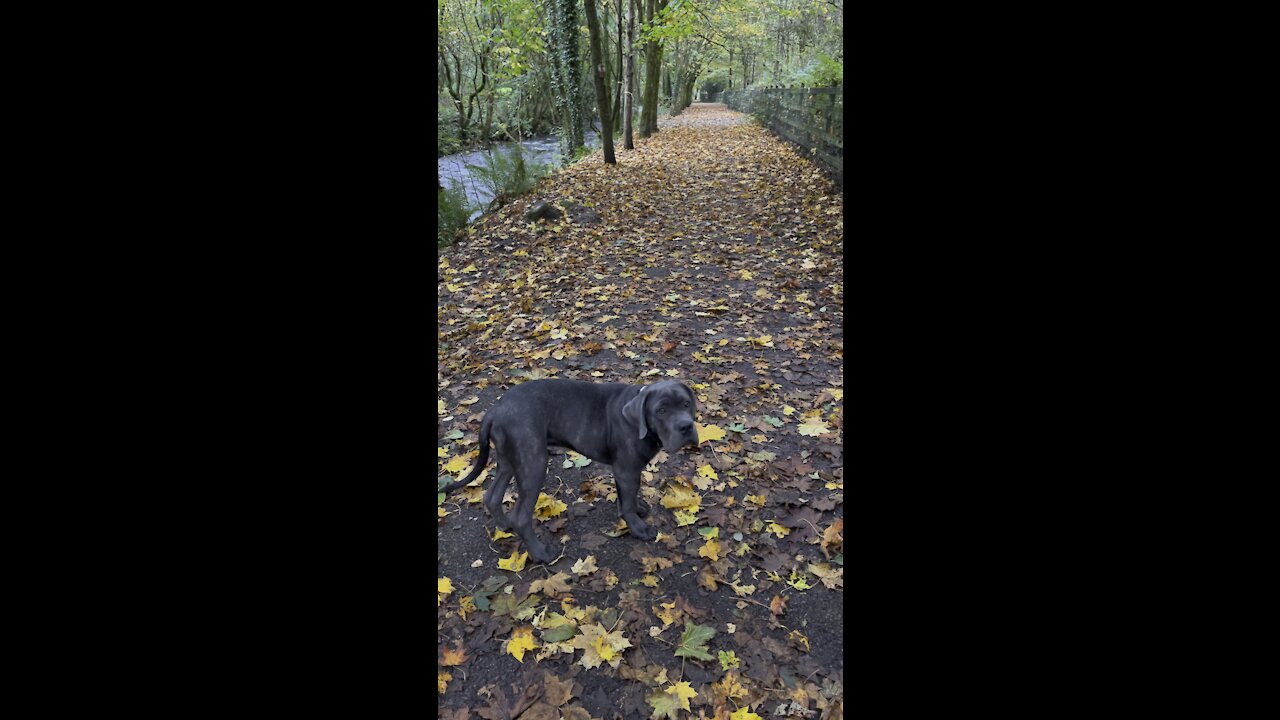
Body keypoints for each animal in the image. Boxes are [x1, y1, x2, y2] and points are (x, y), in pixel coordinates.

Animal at [440, 376, 701, 561]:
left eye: (686, 404)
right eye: (661, 410)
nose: (686, 427)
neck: (639, 422)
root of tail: (494, 410)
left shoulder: (625, 471)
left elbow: (628, 497)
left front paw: (638, 510)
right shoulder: (627, 469)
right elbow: (627, 502)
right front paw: (637, 527)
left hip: (508, 460)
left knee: (492, 495)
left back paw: (504, 525)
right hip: (534, 462)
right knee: (521, 516)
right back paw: (541, 554)